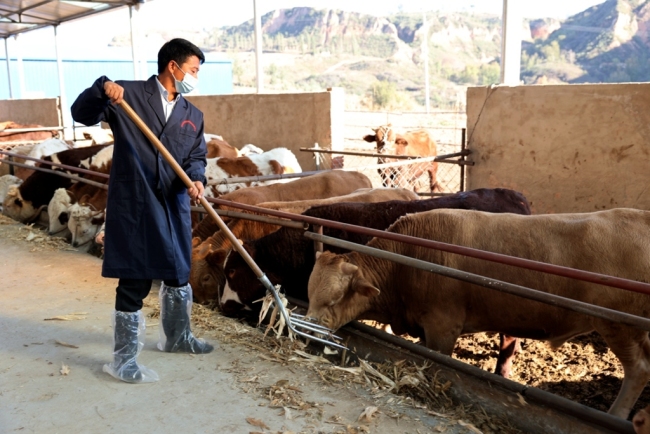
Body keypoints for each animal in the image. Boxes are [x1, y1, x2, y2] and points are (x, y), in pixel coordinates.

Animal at [306, 209, 648, 418]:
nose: (307, 330)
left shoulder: (443, 325)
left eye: (334, 299)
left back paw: (615, 414)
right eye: (309, 294)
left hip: (619, 325)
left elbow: (437, 362)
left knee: (639, 369)